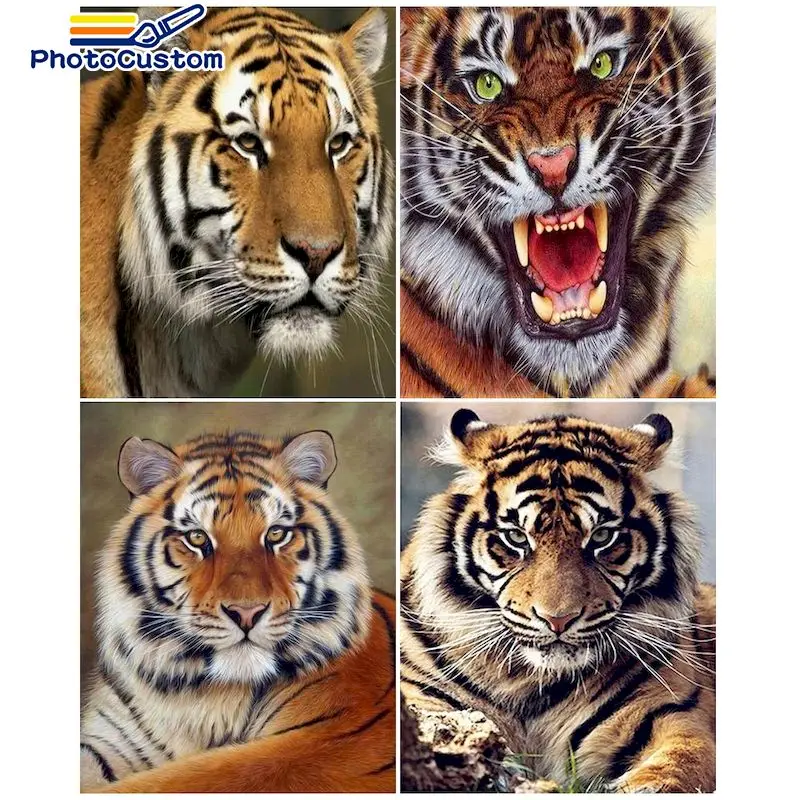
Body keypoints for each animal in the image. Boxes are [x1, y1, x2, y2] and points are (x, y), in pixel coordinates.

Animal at [400, 409, 715, 792]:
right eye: (516, 537)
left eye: (603, 537)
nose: (558, 620)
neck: (527, 681)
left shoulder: (673, 715)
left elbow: (678, 764)